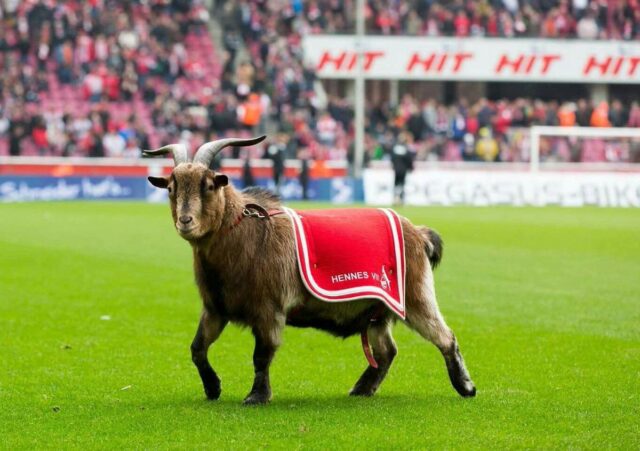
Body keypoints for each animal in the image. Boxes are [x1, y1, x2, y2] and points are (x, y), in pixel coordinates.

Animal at [144, 136, 476, 404]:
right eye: (171, 188)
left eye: (210, 186)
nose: (185, 221)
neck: (247, 233)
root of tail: (418, 232)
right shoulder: (215, 309)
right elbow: (197, 348)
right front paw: (213, 388)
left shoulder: (268, 309)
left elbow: (261, 355)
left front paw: (257, 396)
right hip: (377, 311)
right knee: (387, 351)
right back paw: (362, 389)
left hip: (415, 296)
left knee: (445, 337)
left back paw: (466, 386)